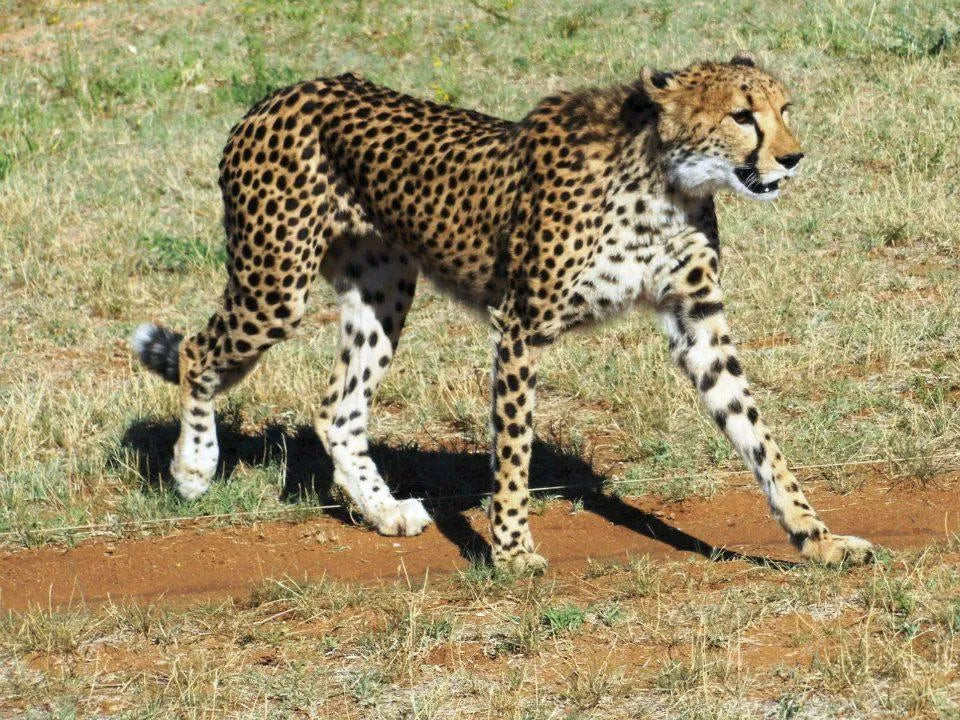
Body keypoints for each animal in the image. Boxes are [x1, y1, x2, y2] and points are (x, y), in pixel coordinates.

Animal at [131, 54, 875, 572]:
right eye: (741, 116)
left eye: (785, 109)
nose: (792, 158)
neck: (666, 182)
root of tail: (278, 94)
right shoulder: (521, 325)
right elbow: (514, 446)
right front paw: (512, 550)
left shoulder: (698, 323)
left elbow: (759, 436)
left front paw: (817, 538)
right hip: (275, 286)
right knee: (196, 352)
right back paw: (193, 466)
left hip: (383, 290)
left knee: (337, 408)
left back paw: (385, 511)